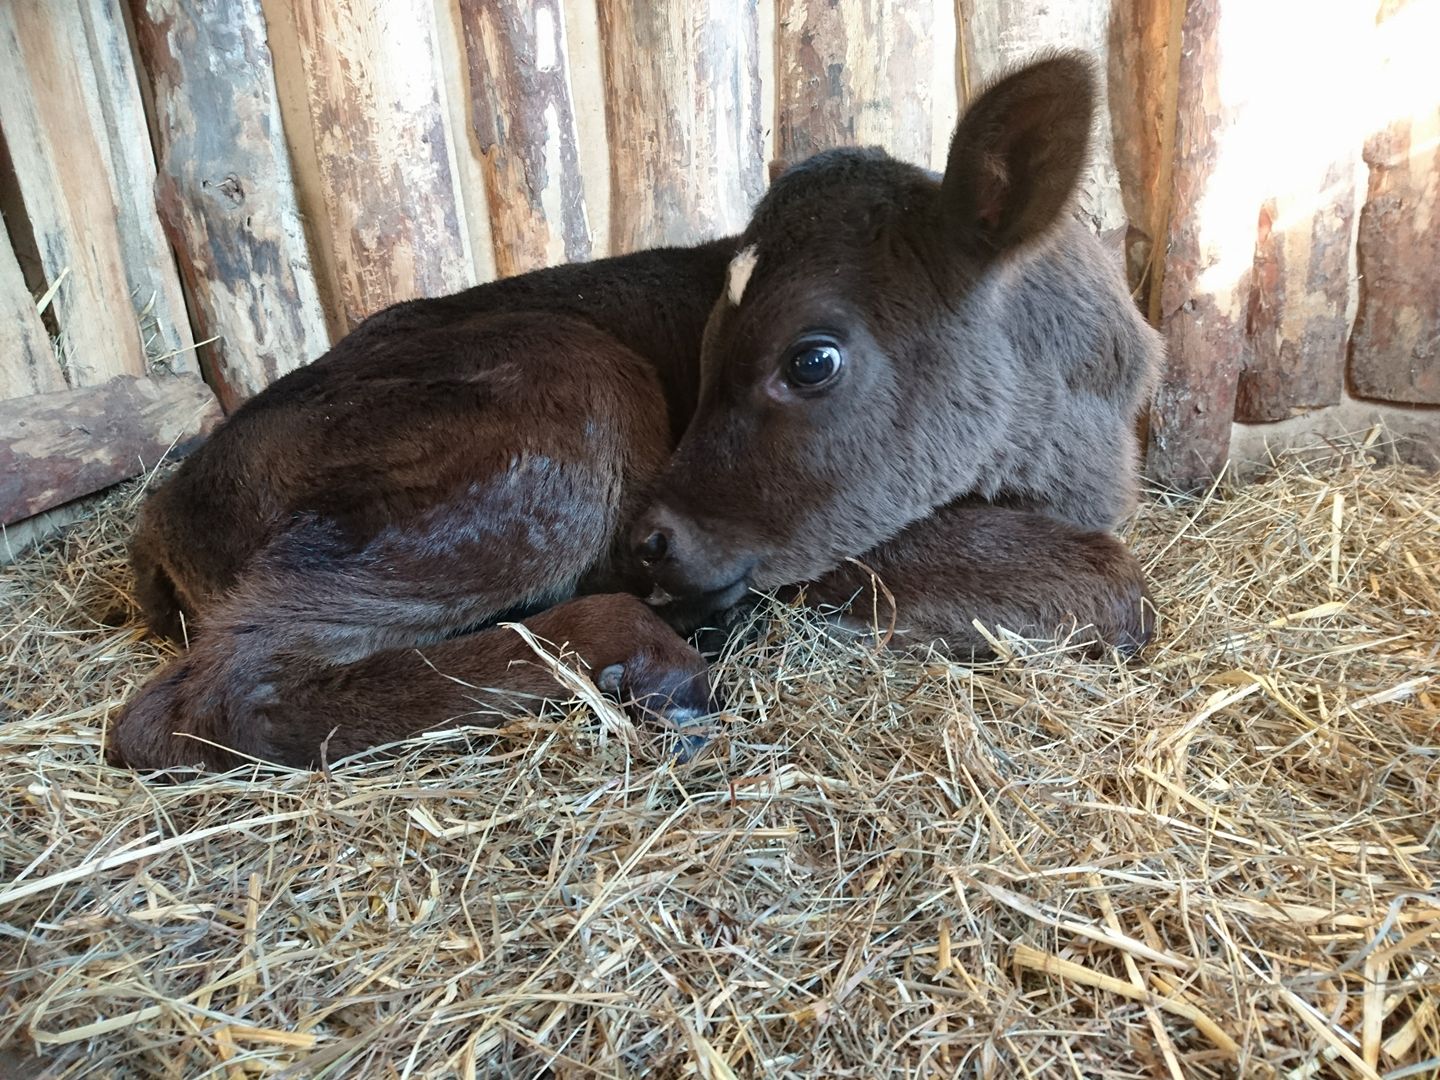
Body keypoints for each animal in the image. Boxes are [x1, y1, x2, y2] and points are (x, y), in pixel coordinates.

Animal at [109, 55, 1157, 771]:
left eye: (811, 359)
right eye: (706, 349)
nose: (650, 539)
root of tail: (168, 506)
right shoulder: (840, 546)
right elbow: (1118, 589)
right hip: (565, 402)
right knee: (204, 698)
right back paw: (647, 662)